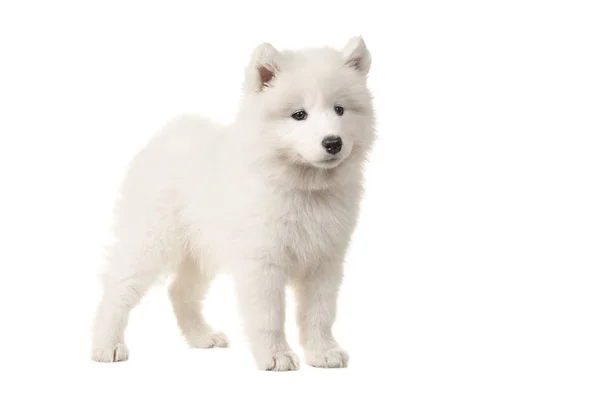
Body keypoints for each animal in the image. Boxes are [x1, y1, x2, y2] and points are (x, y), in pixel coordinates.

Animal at [91, 36, 376, 370]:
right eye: (299, 115)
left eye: (340, 109)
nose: (333, 142)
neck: (303, 187)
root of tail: (170, 133)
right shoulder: (263, 261)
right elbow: (269, 316)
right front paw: (276, 355)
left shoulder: (325, 261)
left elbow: (320, 313)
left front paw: (323, 352)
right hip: (151, 241)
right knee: (118, 288)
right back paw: (106, 345)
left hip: (199, 250)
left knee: (179, 292)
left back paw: (202, 337)